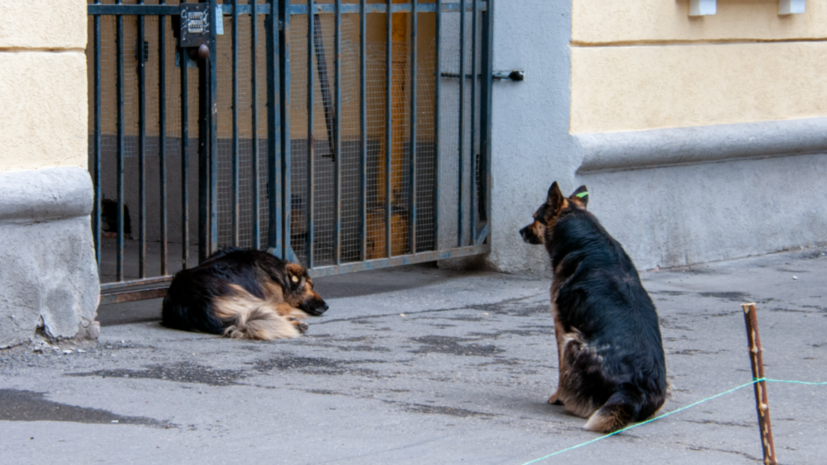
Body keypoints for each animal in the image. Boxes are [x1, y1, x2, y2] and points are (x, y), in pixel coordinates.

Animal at [520, 180, 668, 432]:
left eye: (535, 217)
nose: (521, 231)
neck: (585, 238)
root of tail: (634, 388)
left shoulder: (560, 326)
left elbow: (560, 368)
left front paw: (557, 397)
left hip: (574, 343)